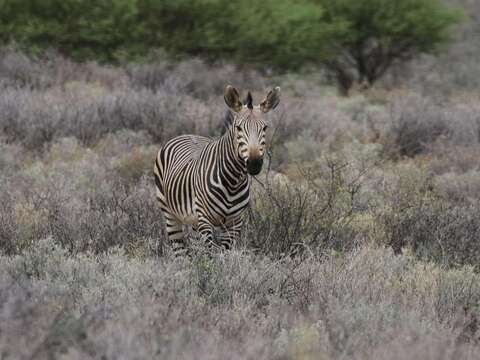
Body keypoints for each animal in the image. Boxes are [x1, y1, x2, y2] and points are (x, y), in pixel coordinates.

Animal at [154, 84, 282, 255]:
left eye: (265, 128)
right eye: (238, 128)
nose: (254, 164)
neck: (233, 182)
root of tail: (185, 134)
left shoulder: (234, 223)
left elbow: (222, 254)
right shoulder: (205, 220)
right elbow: (210, 255)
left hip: (194, 221)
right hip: (170, 215)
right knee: (180, 252)